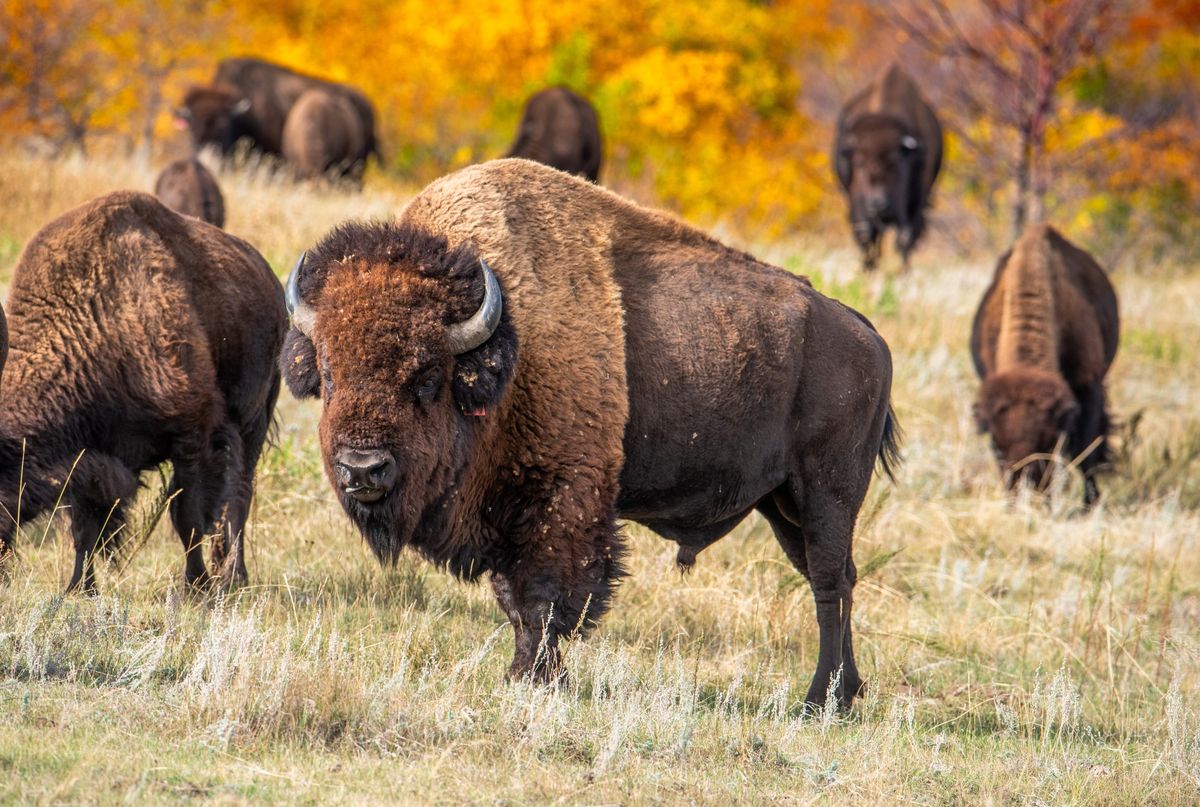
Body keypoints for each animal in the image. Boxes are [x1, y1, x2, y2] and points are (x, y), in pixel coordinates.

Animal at [0, 192, 286, 592]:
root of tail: (270, 281)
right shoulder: (89, 458)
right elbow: (85, 528)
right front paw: (80, 588)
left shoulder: (193, 435)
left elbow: (188, 516)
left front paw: (195, 586)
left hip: (254, 420)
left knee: (239, 496)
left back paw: (232, 576)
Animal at [281, 159, 899, 708]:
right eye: (330, 374)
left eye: (429, 376)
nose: (362, 469)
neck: (508, 343)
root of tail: (865, 332)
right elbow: (515, 601)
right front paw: (522, 676)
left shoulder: (564, 499)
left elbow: (547, 600)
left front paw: (535, 680)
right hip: (783, 504)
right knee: (835, 577)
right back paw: (846, 693)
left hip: (827, 493)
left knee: (828, 583)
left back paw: (818, 701)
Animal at [834, 63, 943, 271]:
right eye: (859, 163)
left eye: (895, 161)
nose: (879, 204)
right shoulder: (858, 204)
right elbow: (866, 236)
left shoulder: (914, 203)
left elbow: (905, 239)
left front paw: (904, 274)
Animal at [971, 224, 1119, 507]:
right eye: (995, 444)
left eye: (1048, 442)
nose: (1026, 484)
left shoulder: (1088, 385)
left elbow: (1086, 451)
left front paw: (1090, 504)